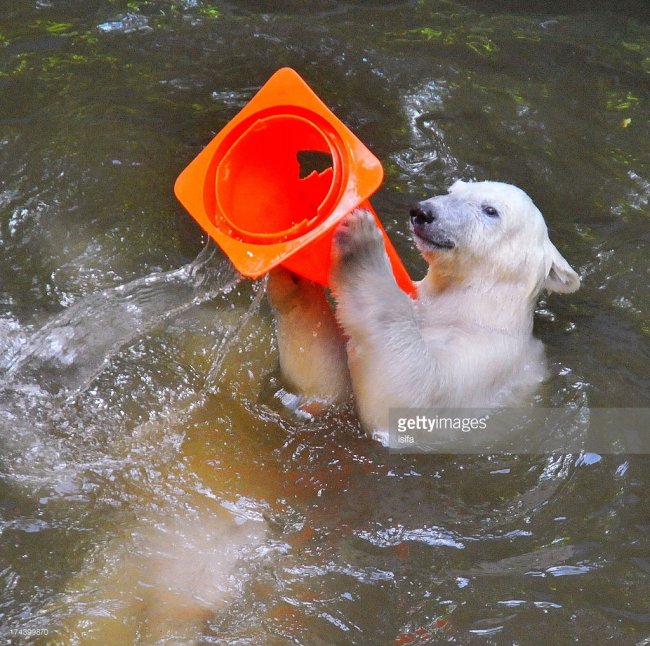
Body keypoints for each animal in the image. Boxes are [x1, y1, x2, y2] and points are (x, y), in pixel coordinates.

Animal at [266, 181, 580, 446]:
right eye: (453, 189)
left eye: (490, 210)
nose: (423, 212)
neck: (471, 308)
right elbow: (327, 386)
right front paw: (293, 277)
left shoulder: (492, 362)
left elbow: (412, 399)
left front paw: (361, 241)